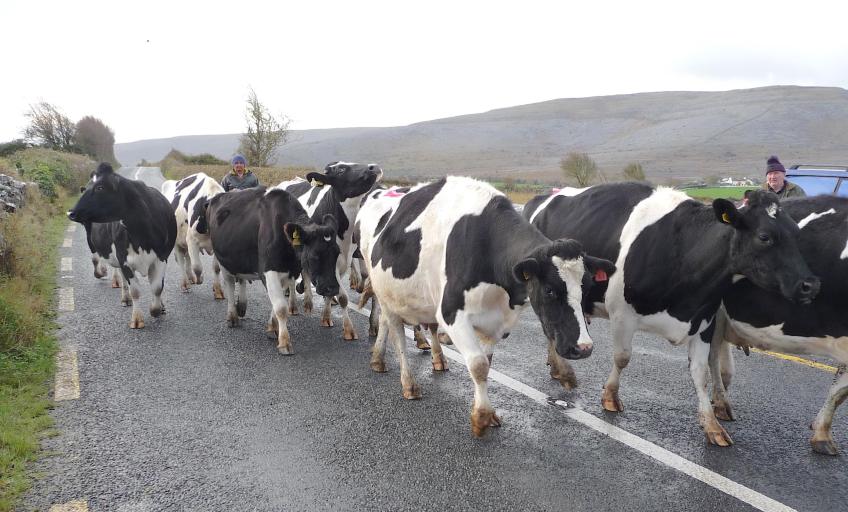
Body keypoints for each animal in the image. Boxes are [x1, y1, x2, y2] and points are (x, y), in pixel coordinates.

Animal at [68, 163, 177, 328]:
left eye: (100, 187)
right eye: (86, 188)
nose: (71, 213)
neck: (141, 232)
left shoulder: (161, 257)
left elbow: (157, 286)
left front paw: (156, 309)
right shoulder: (124, 258)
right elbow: (135, 290)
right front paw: (137, 319)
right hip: (90, 234)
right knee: (98, 259)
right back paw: (111, 282)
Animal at [195, 186, 340, 354]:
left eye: (337, 253)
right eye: (315, 255)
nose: (332, 288)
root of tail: (216, 197)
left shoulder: (288, 272)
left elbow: (276, 303)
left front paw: (273, 328)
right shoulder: (268, 270)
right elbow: (281, 307)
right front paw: (284, 342)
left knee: (241, 278)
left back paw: (242, 306)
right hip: (224, 260)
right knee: (230, 284)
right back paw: (232, 316)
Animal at [275, 161, 383, 340]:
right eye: (340, 169)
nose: (374, 167)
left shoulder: (341, 258)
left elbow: (332, 289)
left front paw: (326, 315)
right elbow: (343, 297)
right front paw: (348, 329)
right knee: (295, 276)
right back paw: (295, 304)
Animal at [356, 176, 615, 436]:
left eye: (587, 286)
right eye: (549, 290)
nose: (584, 347)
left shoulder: (498, 322)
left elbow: (486, 363)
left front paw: (487, 414)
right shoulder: (451, 313)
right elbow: (478, 365)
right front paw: (481, 417)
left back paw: (401, 360)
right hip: (384, 291)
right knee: (396, 333)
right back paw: (407, 382)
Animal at [523, 182, 820, 447]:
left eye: (797, 233)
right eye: (764, 237)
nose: (811, 285)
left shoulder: (705, 319)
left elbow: (700, 372)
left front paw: (712, 425)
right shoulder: (622, 314)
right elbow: (622, 358)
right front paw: (610, 397)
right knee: (549, 327)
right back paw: (563, 370)